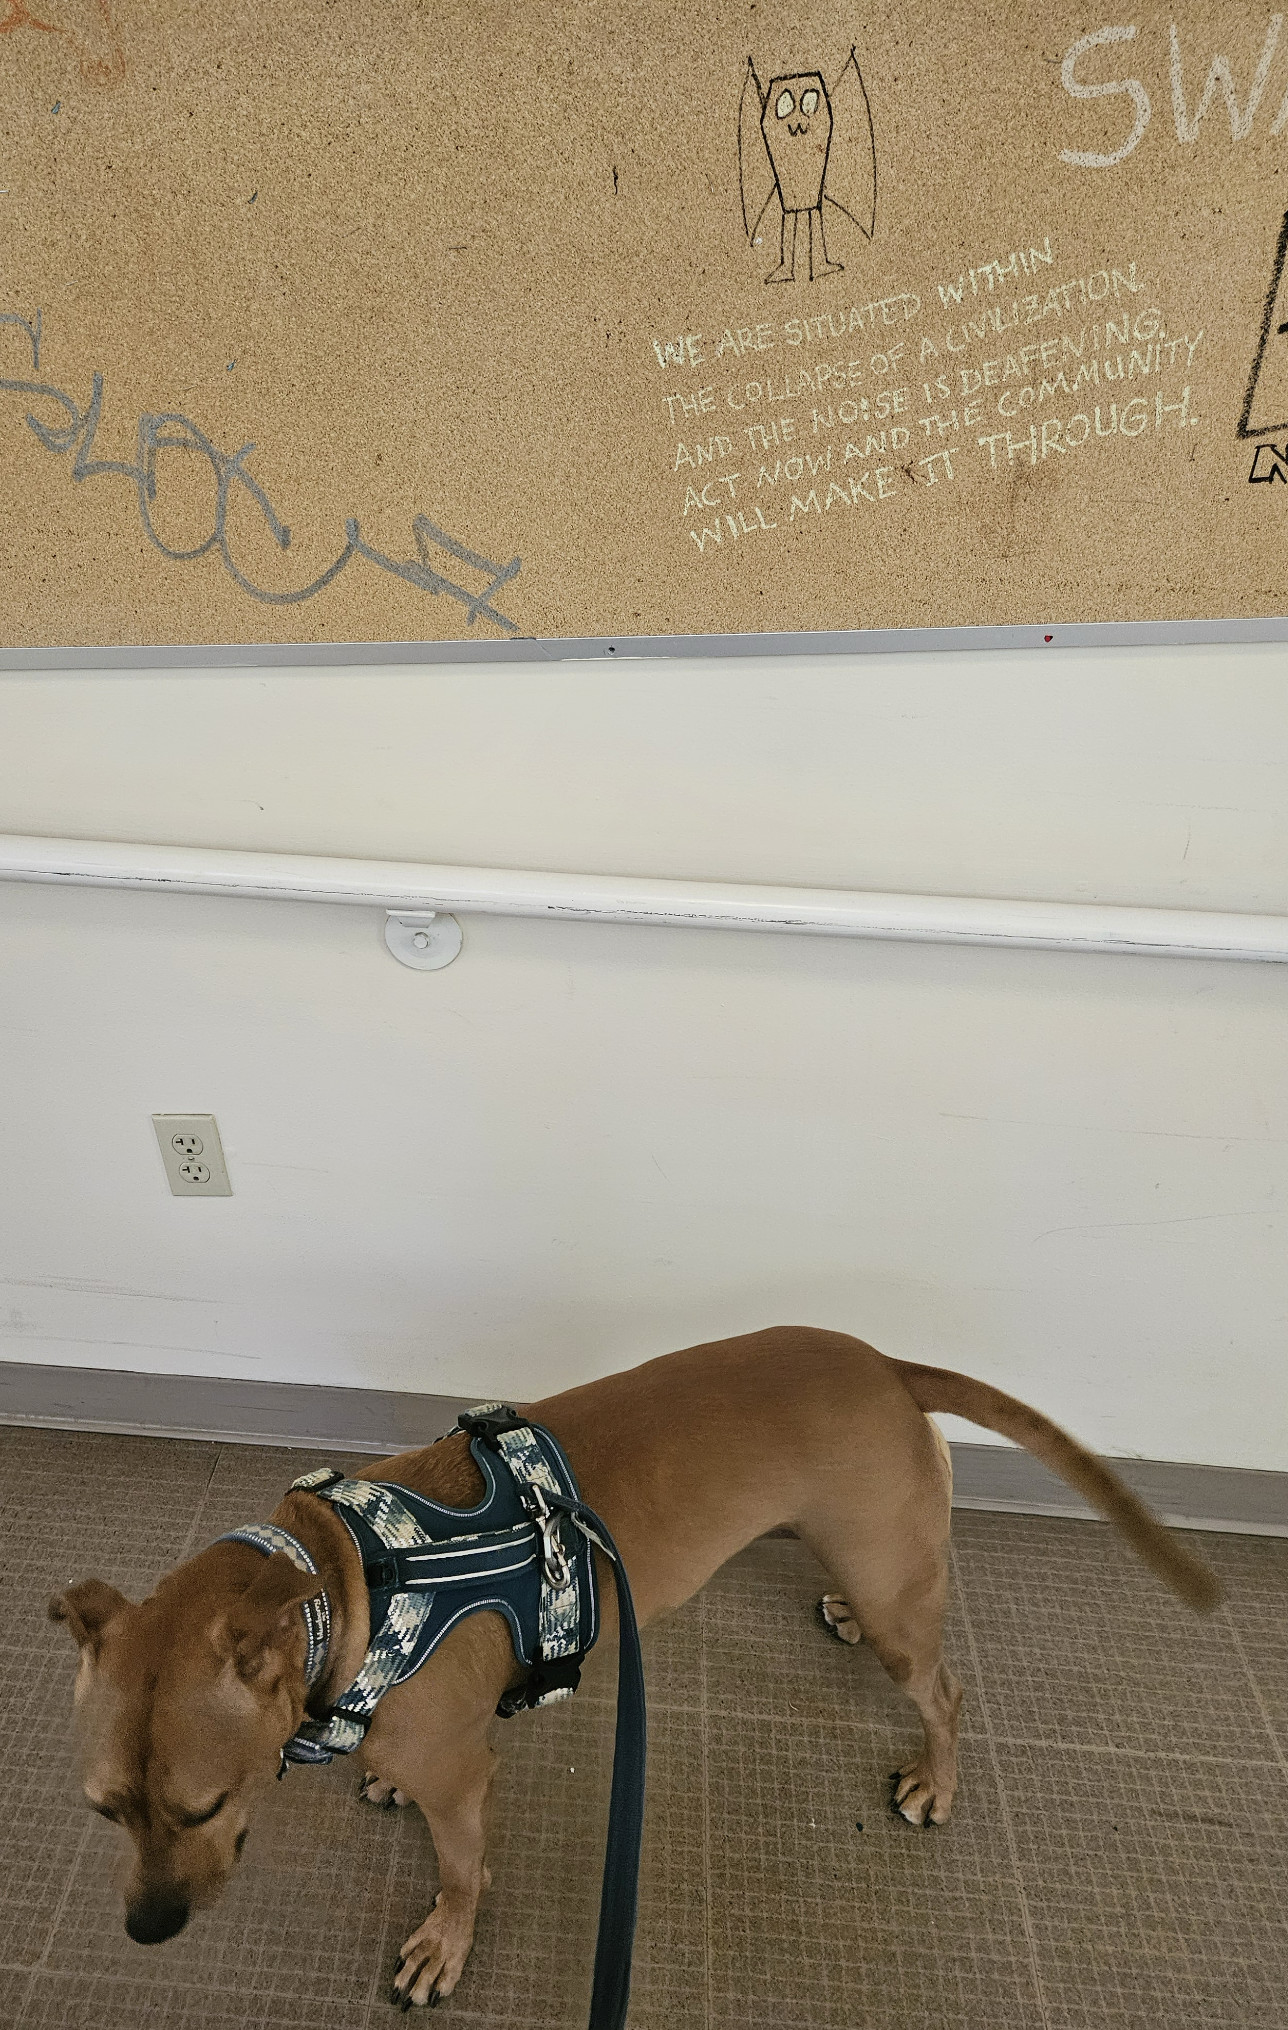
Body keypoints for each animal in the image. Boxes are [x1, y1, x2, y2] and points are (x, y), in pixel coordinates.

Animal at [50, 1323, 1210, 2005]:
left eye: (204, 1806)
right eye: (102, 1809)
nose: (148, 1930)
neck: (348, 1583)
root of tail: (884, 1363)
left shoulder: (463, 1780)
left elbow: (462, 1867)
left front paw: (444, 1943)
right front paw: (379, 1783)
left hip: (900, 1599)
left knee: (946, 1690)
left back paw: (937, 1776)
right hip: (866, 1553)